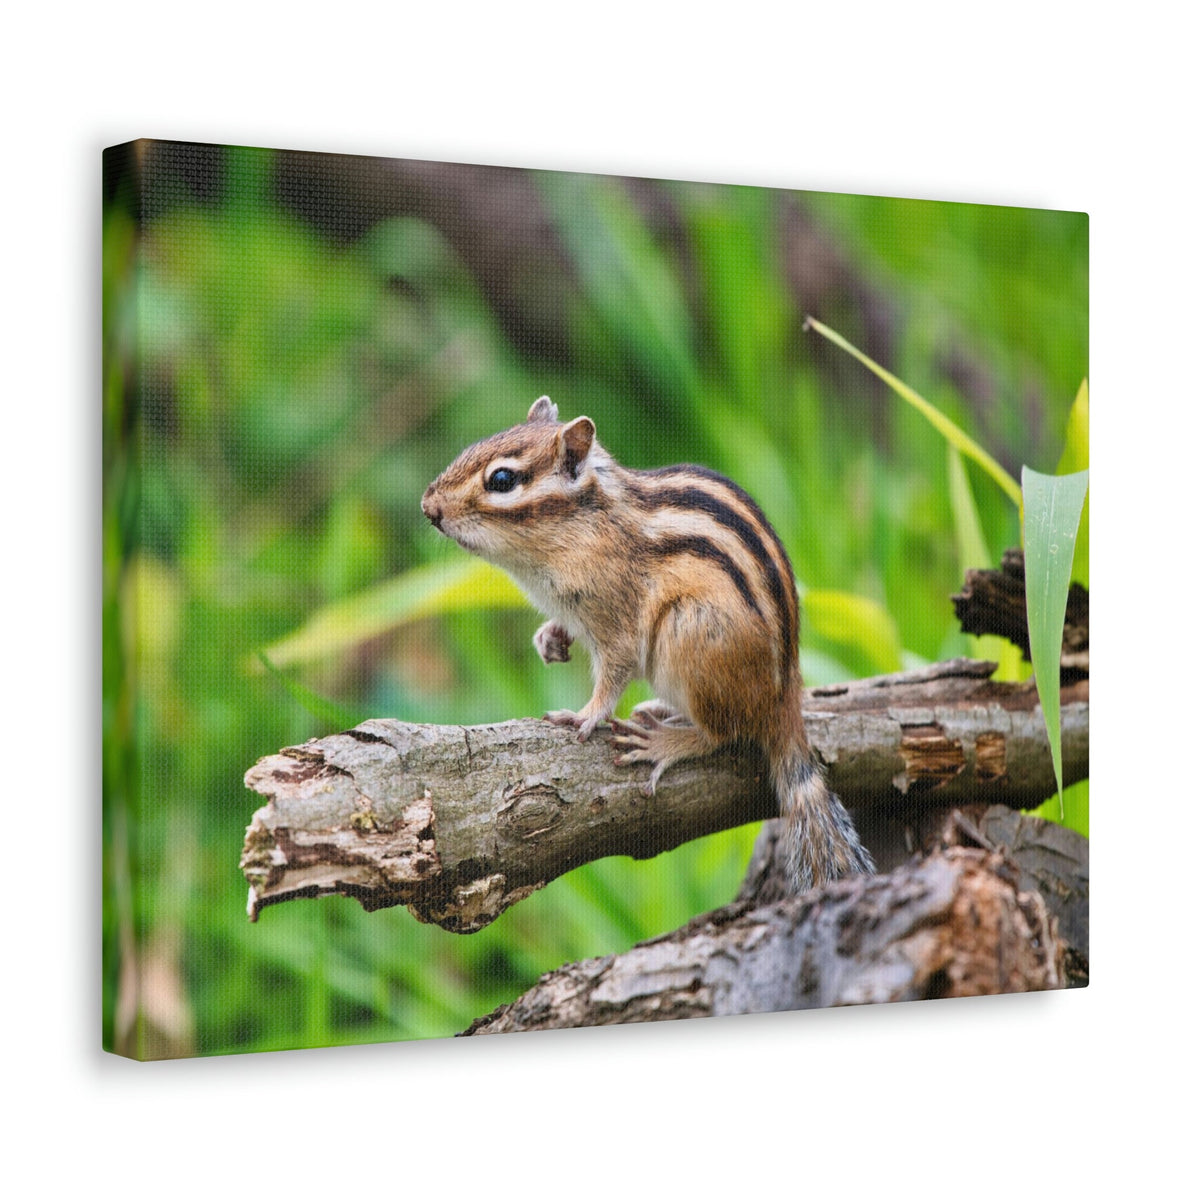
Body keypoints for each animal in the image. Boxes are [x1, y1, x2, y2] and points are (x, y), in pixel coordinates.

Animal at [421, 396, 875, 893]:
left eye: (501, 480)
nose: (428, 507)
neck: (583, 526)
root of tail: (784, 700)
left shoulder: (618, 618)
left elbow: (614, 673)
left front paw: (585, 714)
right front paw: (550, 639)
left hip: (688, 631)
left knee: (723, 733)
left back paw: (665, 741)